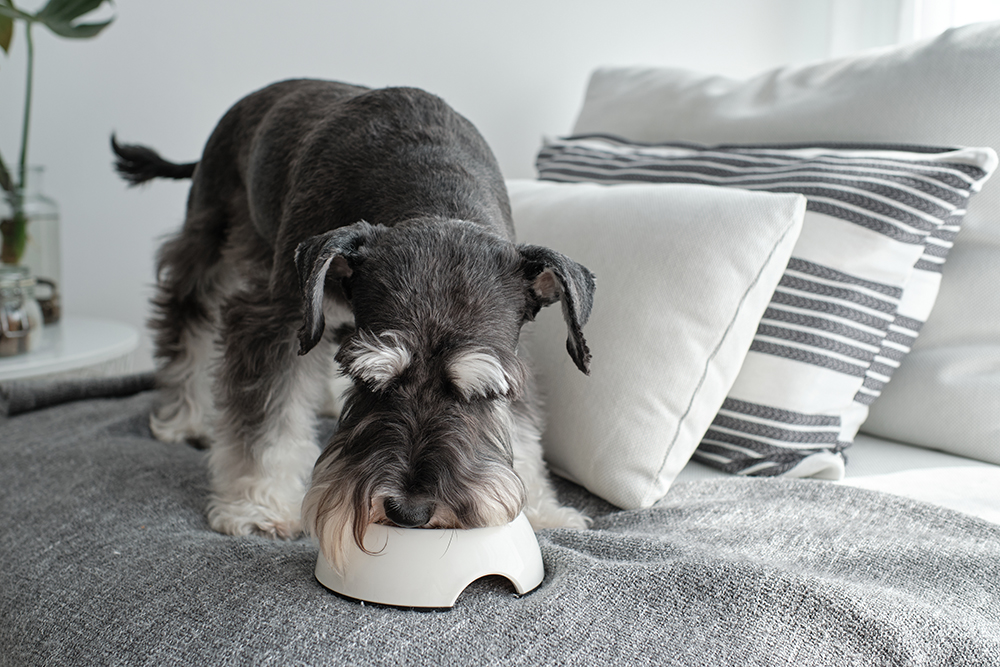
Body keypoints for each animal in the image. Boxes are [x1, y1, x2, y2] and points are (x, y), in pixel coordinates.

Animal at [111, 78, 592, 568]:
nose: (408, 511)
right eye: (370, 383)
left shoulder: (511, 353)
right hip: (213, 238)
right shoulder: (276, 318)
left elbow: (523, 429)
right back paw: (183, 417)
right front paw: (259, 506)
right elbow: (266, 418)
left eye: (485, 395)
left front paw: (543, 509)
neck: (432, 191)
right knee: (186, 317)